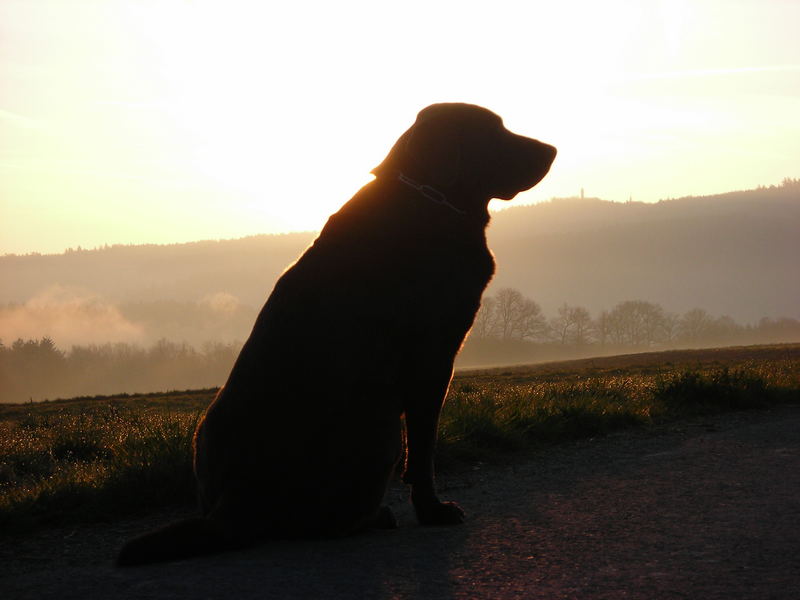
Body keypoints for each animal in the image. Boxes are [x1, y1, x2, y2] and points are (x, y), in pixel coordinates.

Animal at [115, 103, 556, 568]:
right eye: (493, 131)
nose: (553, 150)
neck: (427, 198)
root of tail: (236, 499)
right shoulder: (433, 360)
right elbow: (424, 452)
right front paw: (433, 511)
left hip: (207, 433)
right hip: (382, 427)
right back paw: (378, 516)